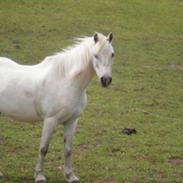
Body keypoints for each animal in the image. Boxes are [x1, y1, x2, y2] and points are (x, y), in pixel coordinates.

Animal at [0, 32, 114, 182]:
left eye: (112, 54)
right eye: (95, 55)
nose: (106, 80)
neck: (66, 81)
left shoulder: (72, 121)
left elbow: (68, 149)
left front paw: (70, 176)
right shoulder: (50, 121)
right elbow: (43, 148)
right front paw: (39, 176)